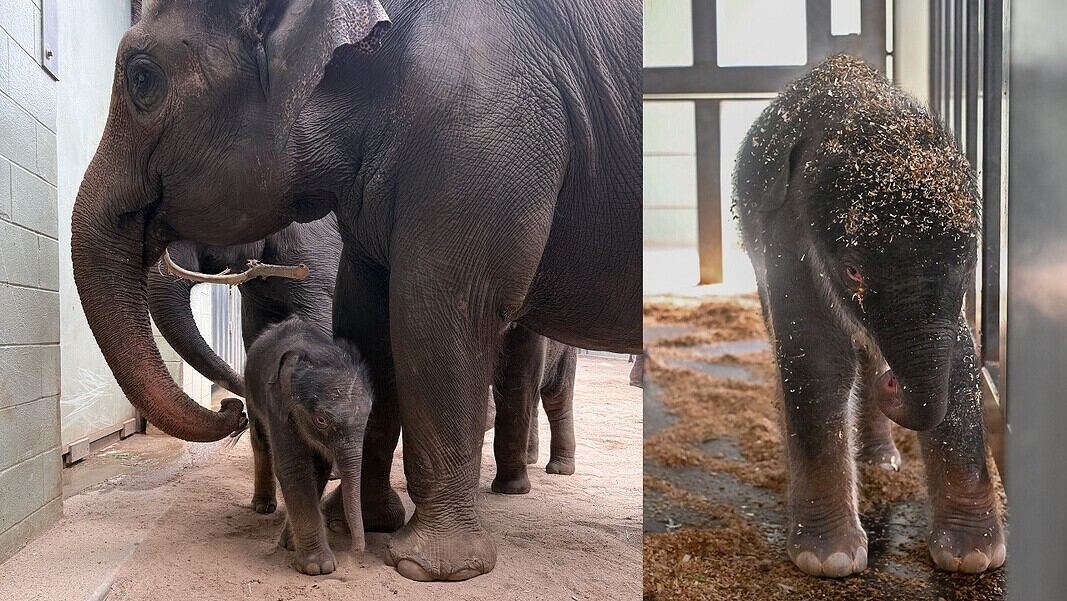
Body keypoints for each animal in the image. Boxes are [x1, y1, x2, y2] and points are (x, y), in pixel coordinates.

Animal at [244, 316, 372, 575]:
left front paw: (291, 545)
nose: (356, 553)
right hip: (250, 391)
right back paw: (262, 506)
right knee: (260, 440)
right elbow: (294, 467)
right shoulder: (278, 404)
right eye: (321, 420)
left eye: (368, 416)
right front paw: (318, 567)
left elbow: (318, 468)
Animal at [491, 325, 577, 494]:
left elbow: (517, 379)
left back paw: (559, 469)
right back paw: (529, 459)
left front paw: (510, 490)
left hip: (565, 353)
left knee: (557, 399)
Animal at [733, 55, 1004, 577]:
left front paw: (974, 556)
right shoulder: (789, 239)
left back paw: (880, 462)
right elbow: (818, 362)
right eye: (853, 270)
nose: (891, 384)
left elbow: (961, 362)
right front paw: (829, 560)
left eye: (969, 261)